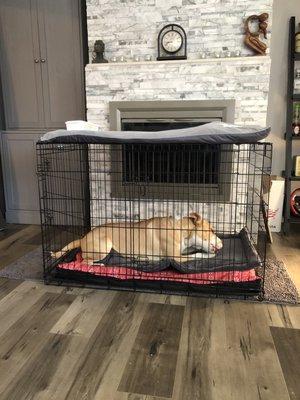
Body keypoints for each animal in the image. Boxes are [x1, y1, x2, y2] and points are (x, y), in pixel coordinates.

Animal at [51, 212, 224, 266]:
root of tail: (83, 238)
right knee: (84, 261)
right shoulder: (177, 258)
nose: (222, 243)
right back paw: (100, 265)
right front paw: (210, 255)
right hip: (104, 246)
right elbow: (196, 255)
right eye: (212, 230)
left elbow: (193, 250)